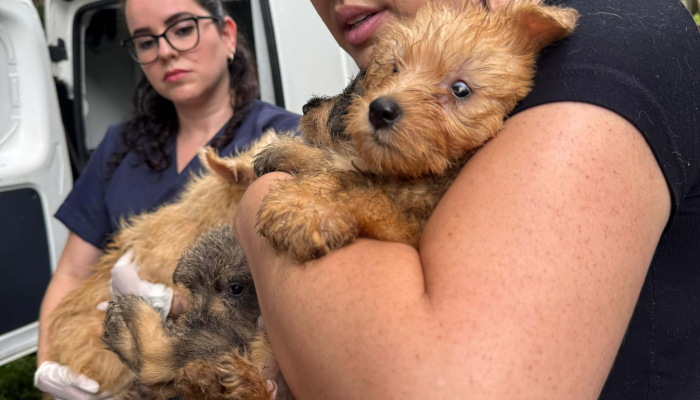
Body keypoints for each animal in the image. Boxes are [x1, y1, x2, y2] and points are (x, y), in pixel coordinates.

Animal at [254, 0, 576, 260]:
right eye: (395, 69)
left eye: (461, 90)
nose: (380, 110)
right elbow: (336, 166)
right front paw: (286, 157)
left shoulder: (408, 229)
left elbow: (369, 198)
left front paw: (308, 212)